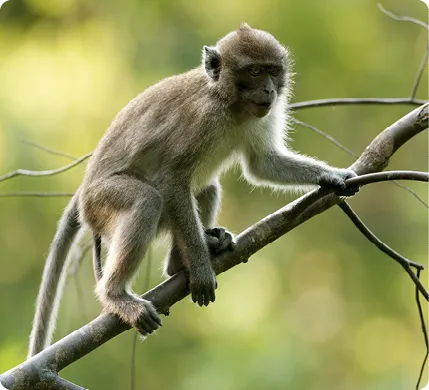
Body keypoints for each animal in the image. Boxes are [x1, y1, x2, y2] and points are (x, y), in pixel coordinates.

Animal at [27, 23, 358, 360]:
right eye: (254, 71)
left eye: (272, 71)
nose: (269, 90)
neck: (228, 104)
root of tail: (83, 193)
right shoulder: (201, 118)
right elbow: (173, 178)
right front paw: (200, 270)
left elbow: (262, 164)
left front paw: (332, 176)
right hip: (101, 203)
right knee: (148, 200)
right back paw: (118, 295)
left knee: (208, 188)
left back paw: (180, 262)